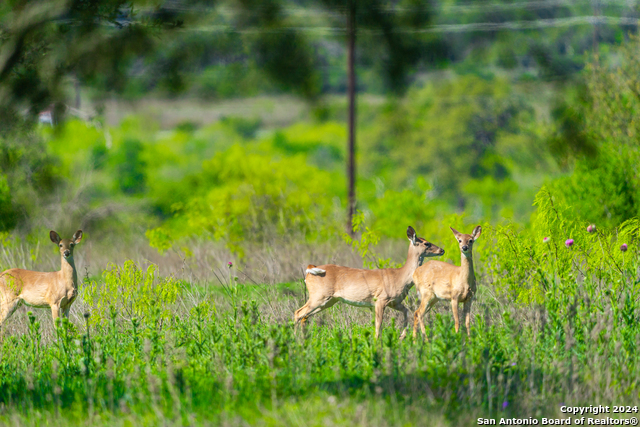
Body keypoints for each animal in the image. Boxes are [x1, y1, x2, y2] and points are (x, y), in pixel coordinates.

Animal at [296, 227, 442, 342]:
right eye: (427, 243)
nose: (442, 250)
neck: (400, 277)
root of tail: (310, 270)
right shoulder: (380, 299)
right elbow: (379, 325)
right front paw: (377, 344)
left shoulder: (394, 302)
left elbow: (407, 311)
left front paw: (402, 337)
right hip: (319, 296)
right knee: (298, 313)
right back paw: (295, 340)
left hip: (328, 301)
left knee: (304, 316)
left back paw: (304, 339)